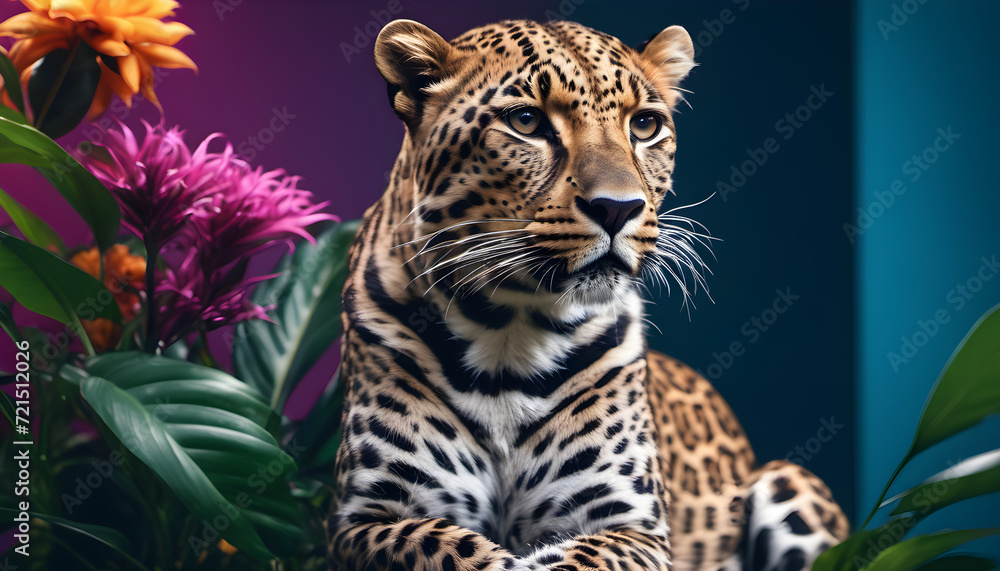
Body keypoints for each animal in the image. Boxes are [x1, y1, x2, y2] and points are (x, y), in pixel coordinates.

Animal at [326, 17, 849, 571]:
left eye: (644, 126)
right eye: (527, 121)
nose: (618, 208)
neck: (508, 334)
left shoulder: (631, 525)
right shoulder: (365, 519)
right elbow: (461, 550)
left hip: (787, 480)